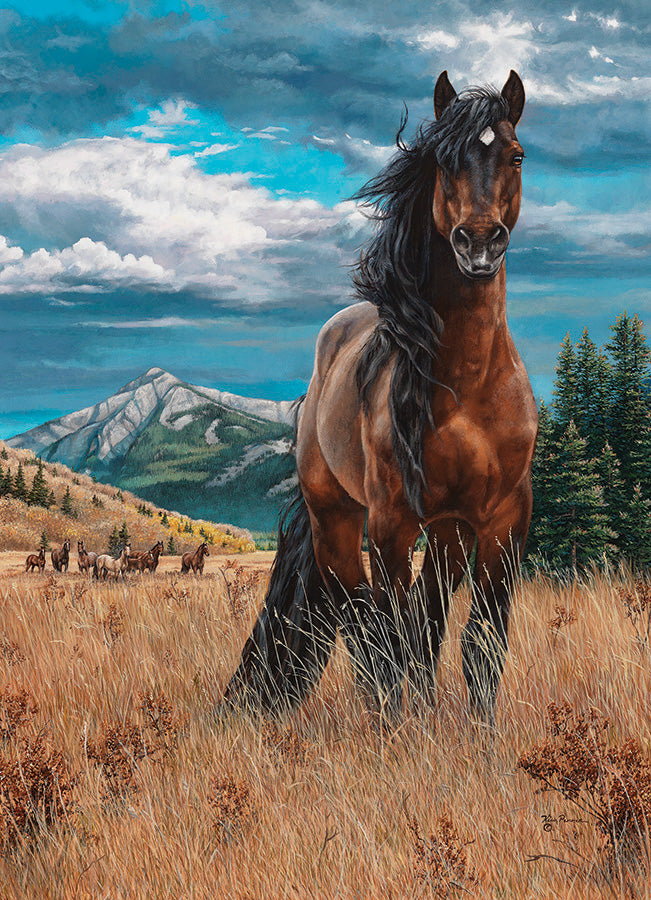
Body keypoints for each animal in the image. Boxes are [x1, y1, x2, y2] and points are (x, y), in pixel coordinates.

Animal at [224, 70, 537, 727]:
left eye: (516, 155)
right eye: (443, 161)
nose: (478, 243)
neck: (470, 385)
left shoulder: (505, 518)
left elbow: (480, 644)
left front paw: (478, 737)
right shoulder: (392, 521)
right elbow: (390, 632)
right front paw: (402, 733)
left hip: (447, 532)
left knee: (424, 621)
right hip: (338, 521)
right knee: (361, 618)